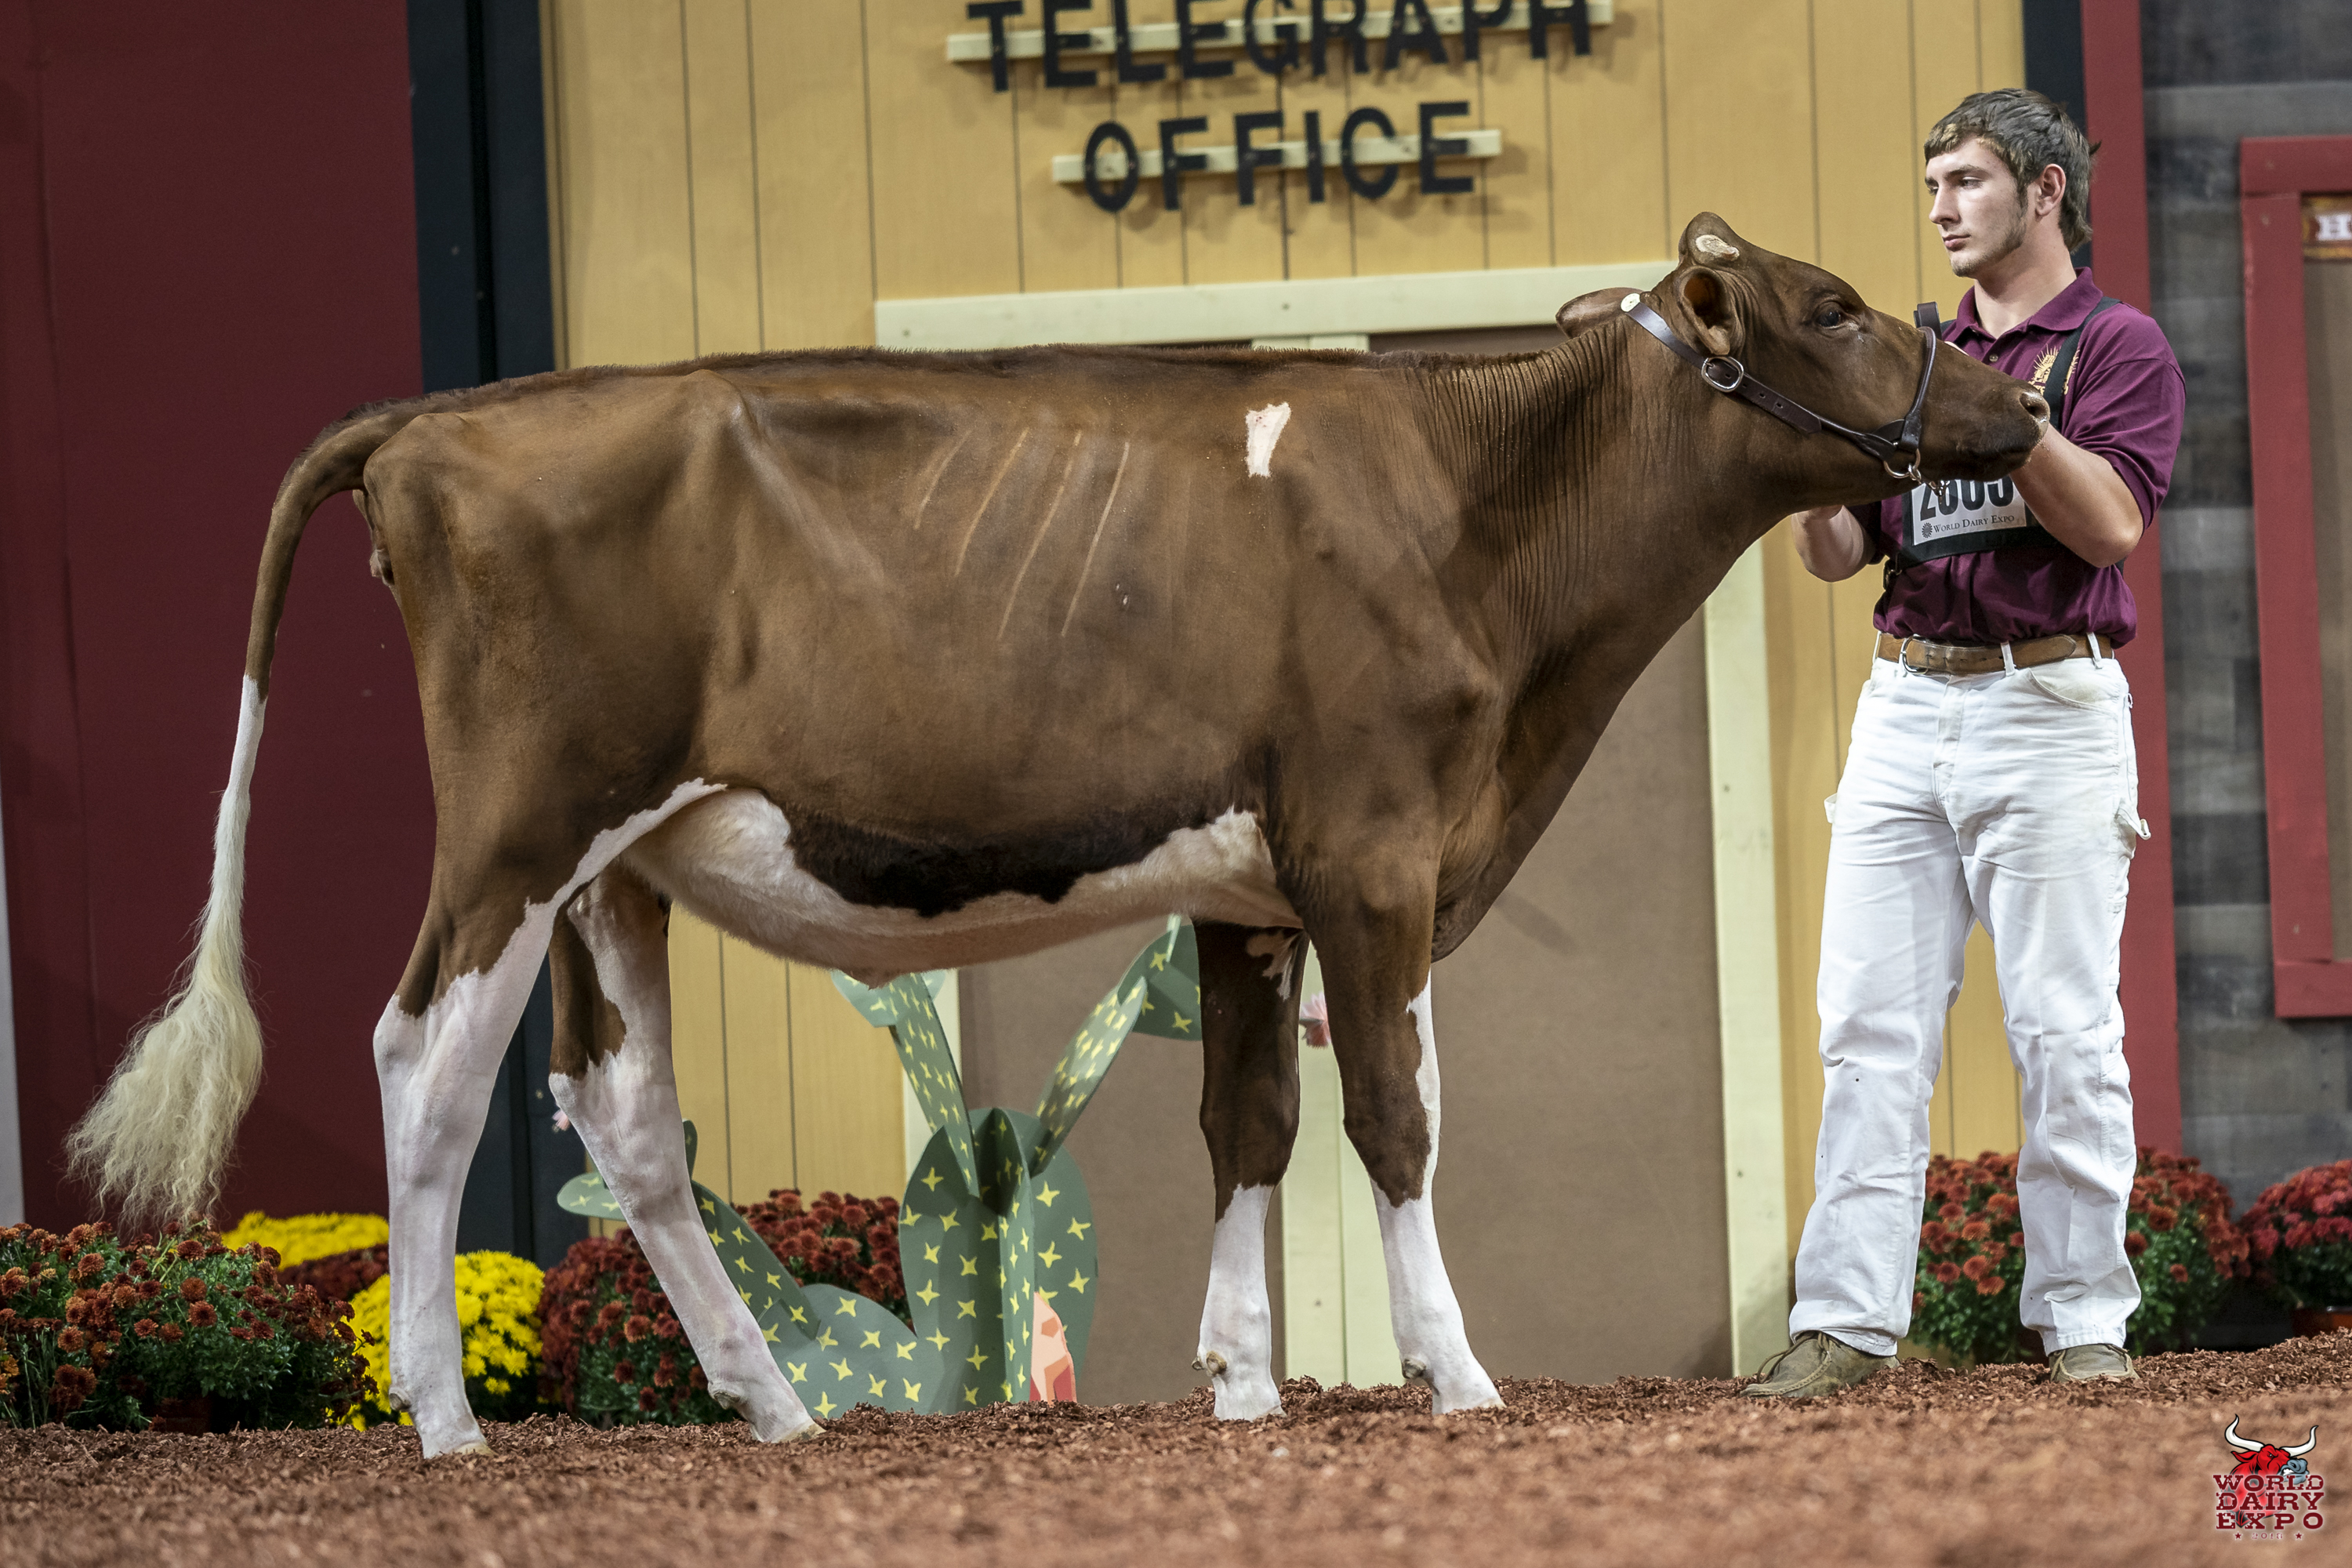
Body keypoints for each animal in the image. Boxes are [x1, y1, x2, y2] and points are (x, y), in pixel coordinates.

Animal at [69, 214, 2045, 1457]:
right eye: (1834, 300)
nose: (2019, 400)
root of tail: (451, 416)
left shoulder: (1253, 889)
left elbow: (1246, 1119)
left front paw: (1243, 1385)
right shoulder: (1374, 849)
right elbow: (1393, 1117)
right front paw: (1457, 1372)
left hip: (614, 869)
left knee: (621, 1111)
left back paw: (771, 1404)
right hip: (520, 825)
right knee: (423, 1064)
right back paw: (443, 1416)